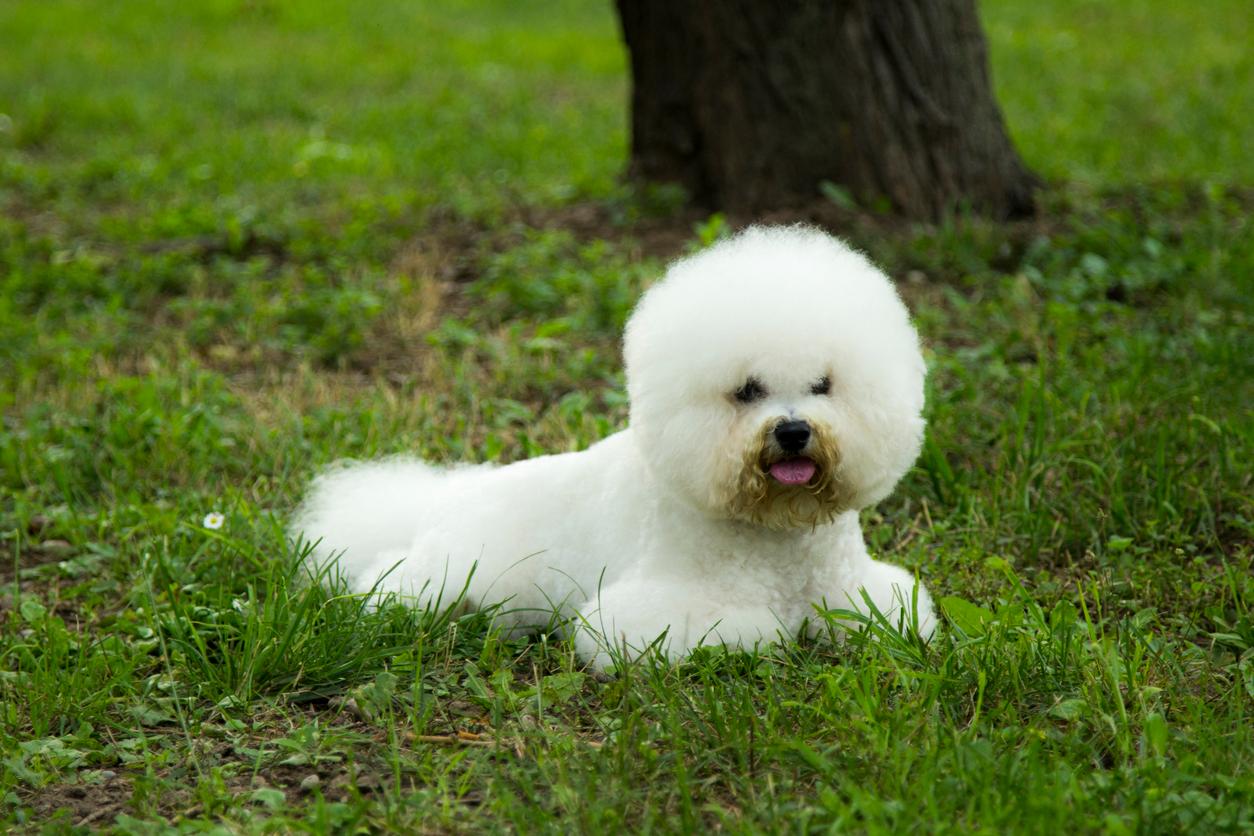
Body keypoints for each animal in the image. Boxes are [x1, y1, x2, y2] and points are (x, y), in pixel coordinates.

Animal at [293, 225, 937, 671]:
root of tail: (441, 499)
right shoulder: (659, 611)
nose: (794, 432)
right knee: (391, 586)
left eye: (823, 385)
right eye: (747, 391)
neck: (776, 535)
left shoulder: (853, 589)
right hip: (450, 572)